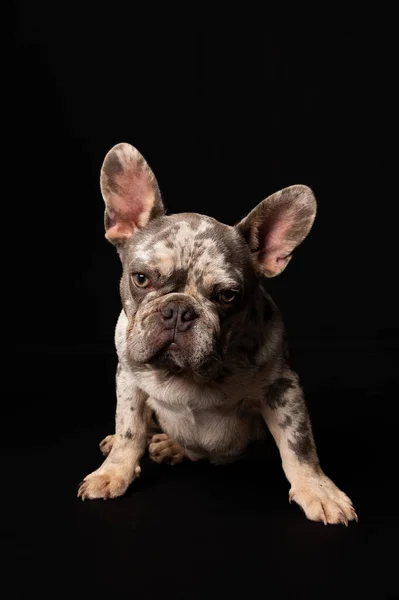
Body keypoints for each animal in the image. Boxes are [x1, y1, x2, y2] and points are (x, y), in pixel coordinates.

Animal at [76, 142, 358, 524]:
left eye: (227, 296)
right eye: (141, 279)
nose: (178, 311)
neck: (187, 375)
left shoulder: (283, 388)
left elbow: (299, 445)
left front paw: (318, 491)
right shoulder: (129, 380)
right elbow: (129, 430)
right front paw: (113, 472)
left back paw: (171, 446)